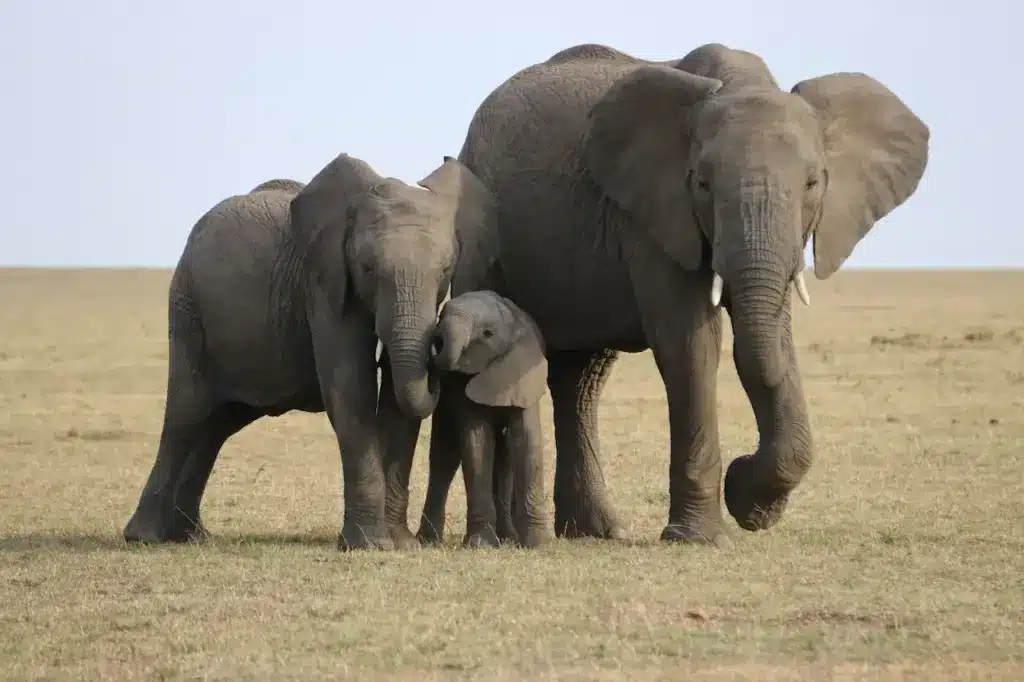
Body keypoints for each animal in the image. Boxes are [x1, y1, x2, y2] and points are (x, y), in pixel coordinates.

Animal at [121, 151, 497, 548]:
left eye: (446, 269)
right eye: (367, 268)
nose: (439, 350)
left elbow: (397, 400)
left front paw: (402, 544)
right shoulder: (323, 283)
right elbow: (351, 389)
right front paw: (371, 545)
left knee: (217, 423)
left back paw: (191, 535)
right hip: (188, 306)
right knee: (187, 413)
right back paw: (145, 536)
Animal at [411, 286, 552, 548]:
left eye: (487, 334)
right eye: (441, 315)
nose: (435, 341)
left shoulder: (522, 372)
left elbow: (526, 439)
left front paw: (536, 544)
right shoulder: (460, 384)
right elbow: (477, 442)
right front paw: (480, 544)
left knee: (505, 459)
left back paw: (508, 537)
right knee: (444, 455)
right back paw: (429, 541)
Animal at [428, 42, 933, 544]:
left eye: (813, 183)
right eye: (702, 183)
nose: (741, 472)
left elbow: (773, 337)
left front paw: (752, 507)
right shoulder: (652, 215)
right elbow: (692, 343)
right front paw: (703, 533)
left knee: (581, 378)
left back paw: (596, 531)